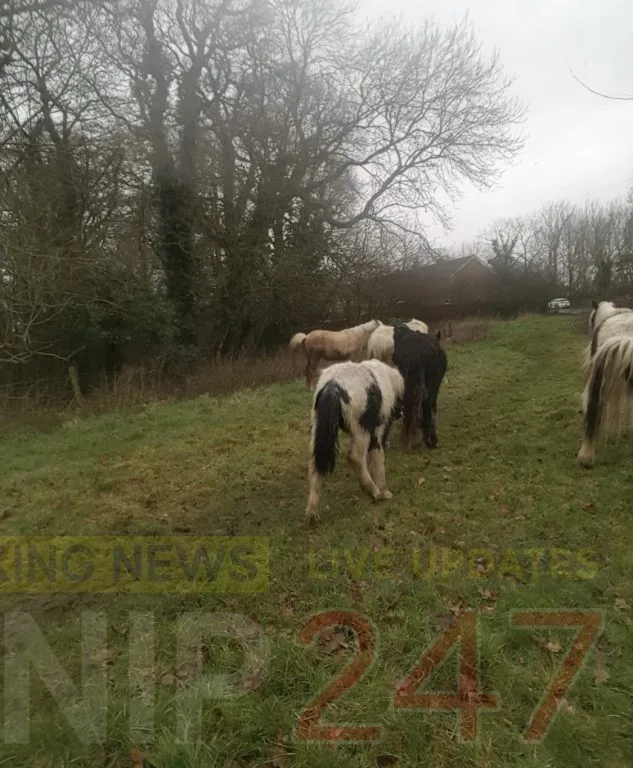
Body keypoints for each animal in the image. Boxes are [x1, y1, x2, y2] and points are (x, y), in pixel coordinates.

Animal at [305, 358, 404, 522]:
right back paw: (374, 491)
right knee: (355, 458)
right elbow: (378, 458)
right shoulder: (377, 431)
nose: (399, 414)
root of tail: (333, 386)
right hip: (360, 431)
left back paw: (312, 513)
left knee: (316, 464)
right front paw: (384, 491)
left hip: (319, 429)